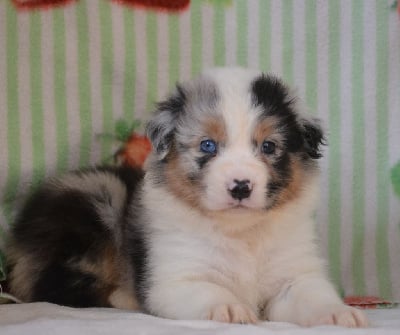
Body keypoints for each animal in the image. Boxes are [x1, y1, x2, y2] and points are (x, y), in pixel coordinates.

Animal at [7, 68, 368, 328]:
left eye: (268, 146)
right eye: (207, 145)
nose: (241, 186)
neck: (241, 233)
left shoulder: (294, 271)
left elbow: (311, 293)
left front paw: (338, 314)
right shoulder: (176, 277)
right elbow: (209, 289)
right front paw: (230, 307)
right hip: (100, 195)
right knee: (53, 286)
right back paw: (125, 296)